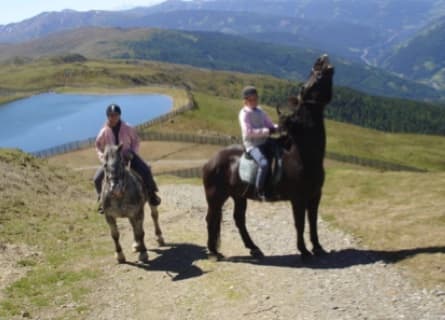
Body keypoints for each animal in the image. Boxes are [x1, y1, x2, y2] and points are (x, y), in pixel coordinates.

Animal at [201, 54, 332, 260]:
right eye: (315, 76)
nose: (321, 58)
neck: (303, 155)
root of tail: (210, 162)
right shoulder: (298, 198)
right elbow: (300, 224)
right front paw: (304, 251)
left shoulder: (315, 196)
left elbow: (312, 222)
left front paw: (318, 248)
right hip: (216, 197)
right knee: (211, 219)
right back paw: (214, 251)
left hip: (239, 196)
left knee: (239, 220)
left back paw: (253, 248)